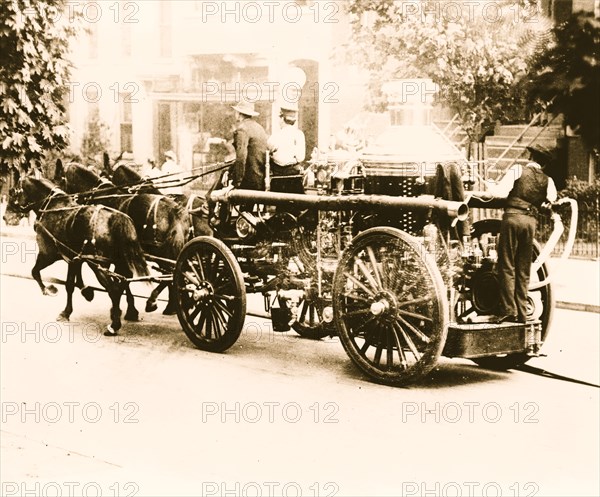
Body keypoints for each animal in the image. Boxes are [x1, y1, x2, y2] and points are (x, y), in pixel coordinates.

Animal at [6, 172, 150, 336]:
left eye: (13, 192)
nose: (6, 217)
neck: (53, 207)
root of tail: (119, 218)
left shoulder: (47, 254)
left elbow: (35, 272)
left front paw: (49, 291)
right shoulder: (74, 258)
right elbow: (71, 283)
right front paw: (82, 296)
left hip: (99, 265)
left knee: (114, 289)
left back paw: (114, 324)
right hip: (118, 263)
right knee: (122, 284)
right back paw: (126, 312)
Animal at [54, 161, 190, 314]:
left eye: (58, 179)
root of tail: (175, 211)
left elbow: (121, 279)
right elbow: (123, 278)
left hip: (162, 253)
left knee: (172, 275)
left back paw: (156, 301)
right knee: (176, 275)